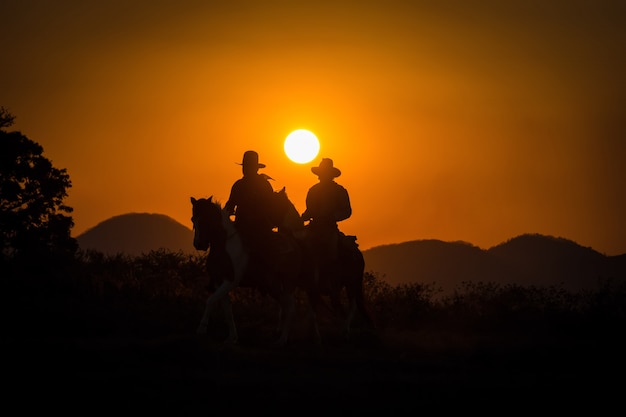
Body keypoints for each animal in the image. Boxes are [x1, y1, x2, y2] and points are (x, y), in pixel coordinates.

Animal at [193, 195, 304, 344]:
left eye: (204, 219)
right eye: (193, 219)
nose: (198, 244)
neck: (225, 245)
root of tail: (294, 243)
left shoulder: (231, 281)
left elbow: (210, 300)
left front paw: (201, 329)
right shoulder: (219, 282)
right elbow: (227, 309)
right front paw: (232, 337)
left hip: (287, 285)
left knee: (291, 308)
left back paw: (282, 340)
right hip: (274, 287)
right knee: (285, 307)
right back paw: (279, 334)